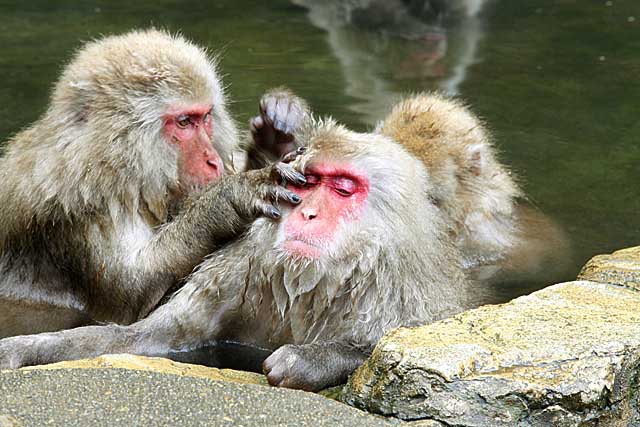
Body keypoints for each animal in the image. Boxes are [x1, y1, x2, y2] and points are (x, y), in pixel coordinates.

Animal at [0, 28, 310, 340]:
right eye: (184, 122)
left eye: (205, 117)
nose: (212, 161)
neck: (110, 164)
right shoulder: (77, 207)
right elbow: (131, 296)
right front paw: (228, 199)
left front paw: (275, 136)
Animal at [0, 117, 472, 392]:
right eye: (308, 182)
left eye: (342, 188)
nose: (308, 213)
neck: (319, 281)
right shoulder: (239, 270)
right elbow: (148, 339)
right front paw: (26, 348)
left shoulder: (402, 296)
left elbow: (391, 345)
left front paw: (311, 360)